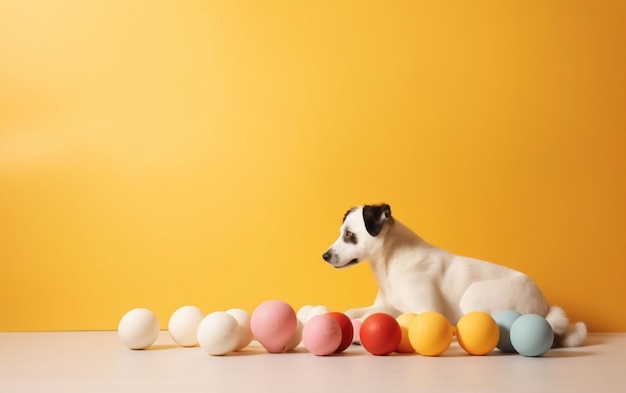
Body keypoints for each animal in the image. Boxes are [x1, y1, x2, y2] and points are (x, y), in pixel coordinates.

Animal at [322, 202, 584, 346]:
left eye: (349, 234)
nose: (324, 256)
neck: (390, 262)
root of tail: (546, 307)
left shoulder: (426, 310)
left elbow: (385, 317)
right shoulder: (389, 303)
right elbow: (354, 311)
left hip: (472, 295)